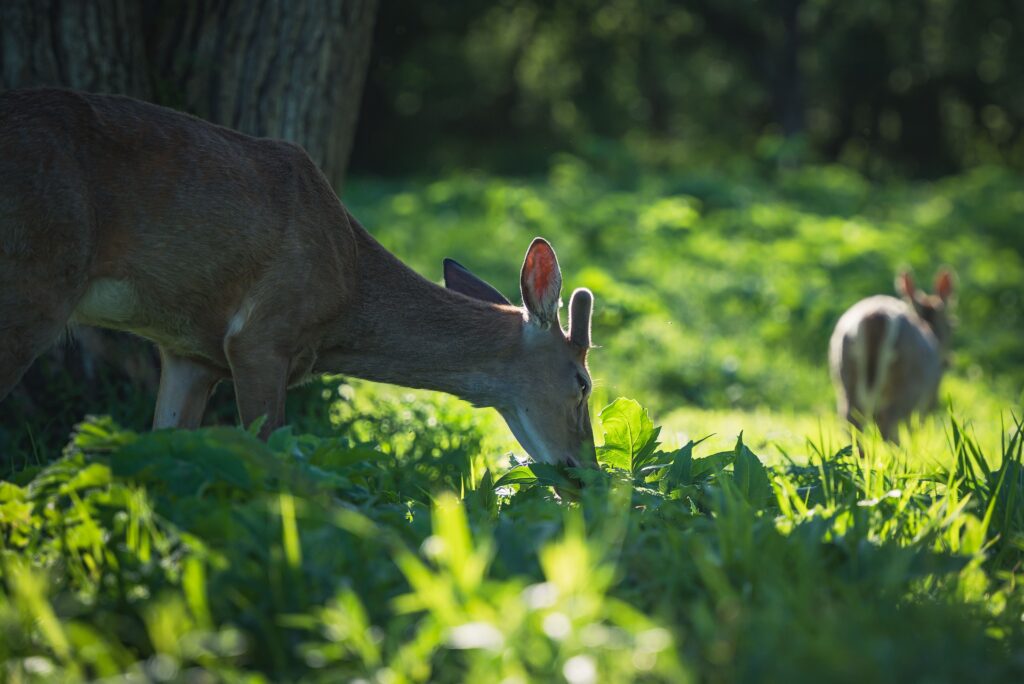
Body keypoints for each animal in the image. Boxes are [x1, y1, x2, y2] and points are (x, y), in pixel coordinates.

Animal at [0, 88, 597, 467]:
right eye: (582, 383)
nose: (585, 475)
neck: (348, 293)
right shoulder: (261, 336)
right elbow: (273, 453)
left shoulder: (190, 353)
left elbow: (166, 443)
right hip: (33, 278)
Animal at [829, 270, 954, 443]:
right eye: (952, 324)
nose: (948, 361)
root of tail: (875, 316)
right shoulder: (929, 398)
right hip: (907, 383)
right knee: (889, 425)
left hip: (844, 375)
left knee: (851, 422)